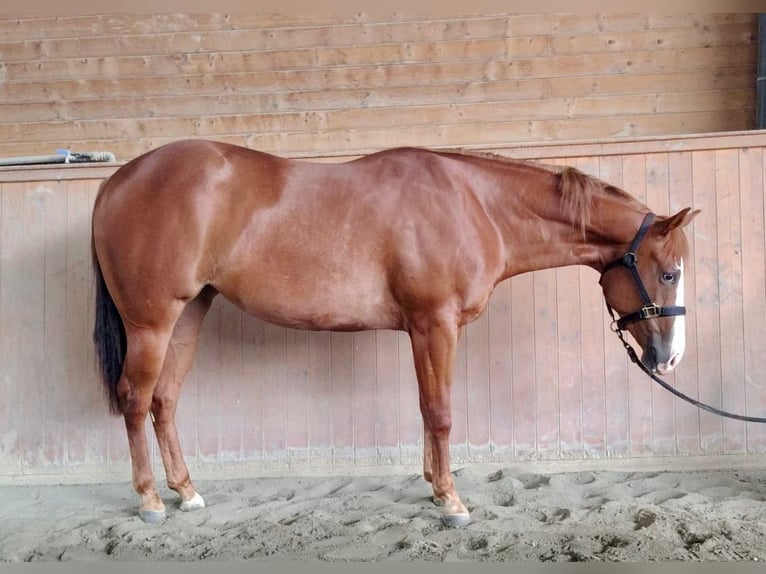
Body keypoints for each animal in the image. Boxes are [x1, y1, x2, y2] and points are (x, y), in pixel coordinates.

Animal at [91, 139, 698, 527]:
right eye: (669, 272)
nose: (670, 359)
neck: (475, 206)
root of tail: (118, 180)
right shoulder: (435, 324)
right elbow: (442, 411)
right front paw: (452, 503)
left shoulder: (422, 329)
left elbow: (427, 409)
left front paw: (433, 487)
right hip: (152, 323)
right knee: (136, 399)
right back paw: (150, 502)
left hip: (190, 314)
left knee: (164, 401)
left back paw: (187, 492)